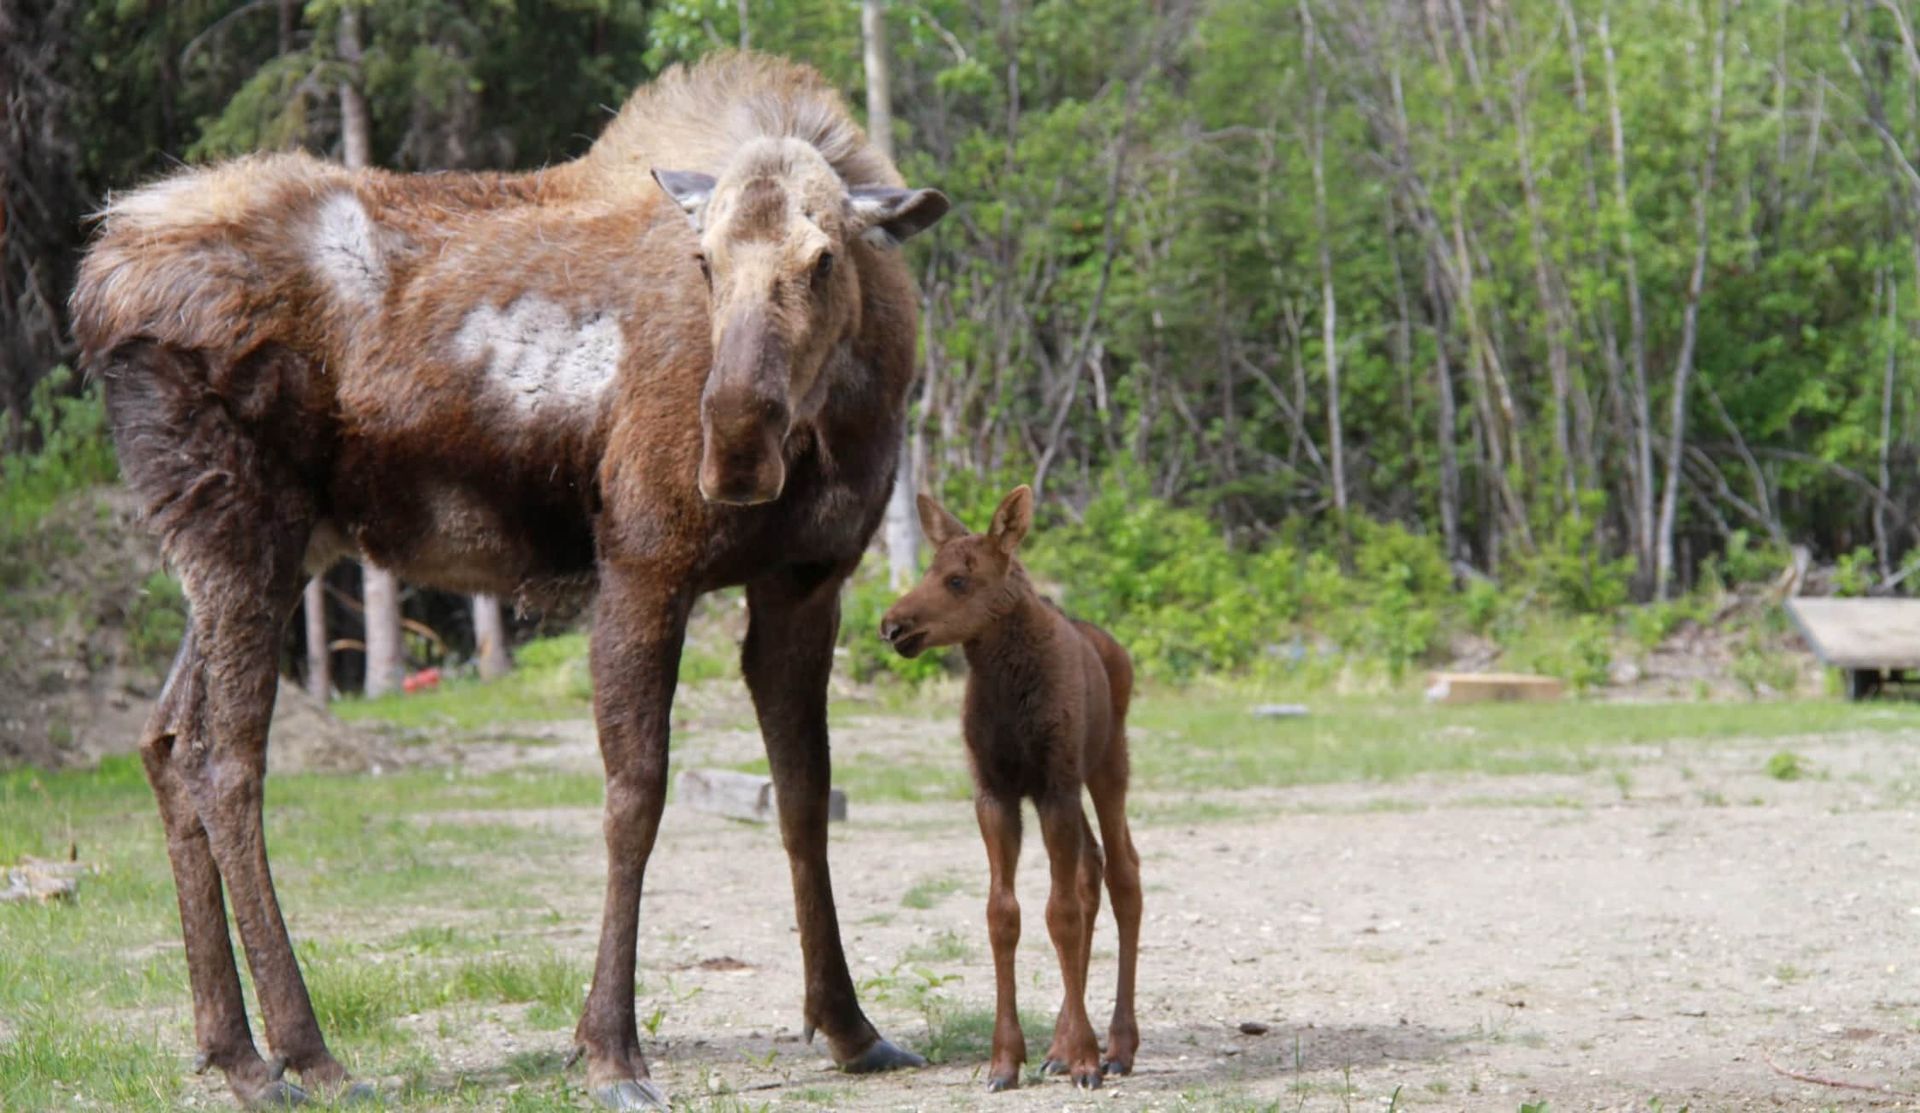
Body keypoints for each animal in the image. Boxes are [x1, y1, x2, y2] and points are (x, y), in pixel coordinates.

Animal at [69, 52, 947, 1111]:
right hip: (243, 527)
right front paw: (610, 1048)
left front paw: (850, 1025)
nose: (735, 443)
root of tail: (97, 280)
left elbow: (806, 797)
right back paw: (299, 1050)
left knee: (163, 739)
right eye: (702, 261)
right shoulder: (643, 563)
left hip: (265, 546)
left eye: (823, 258)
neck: (843, 410)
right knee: (224, 762)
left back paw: (228, 1044)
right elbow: (634, 799)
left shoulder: (805, 581)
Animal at [878, 485, 1141, 1092]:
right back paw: (1061, 1047)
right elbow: (1004, 914)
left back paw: (1117, 1047)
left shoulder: (1054, 786)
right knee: (1092, 866)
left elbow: (1059, 913)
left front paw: (1088, 1060)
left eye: (958, 580)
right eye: (929, 569)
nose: (892, 625)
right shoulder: (995, 791)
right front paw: (1007, 1059)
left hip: (1107, 764)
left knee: (1124, 872)